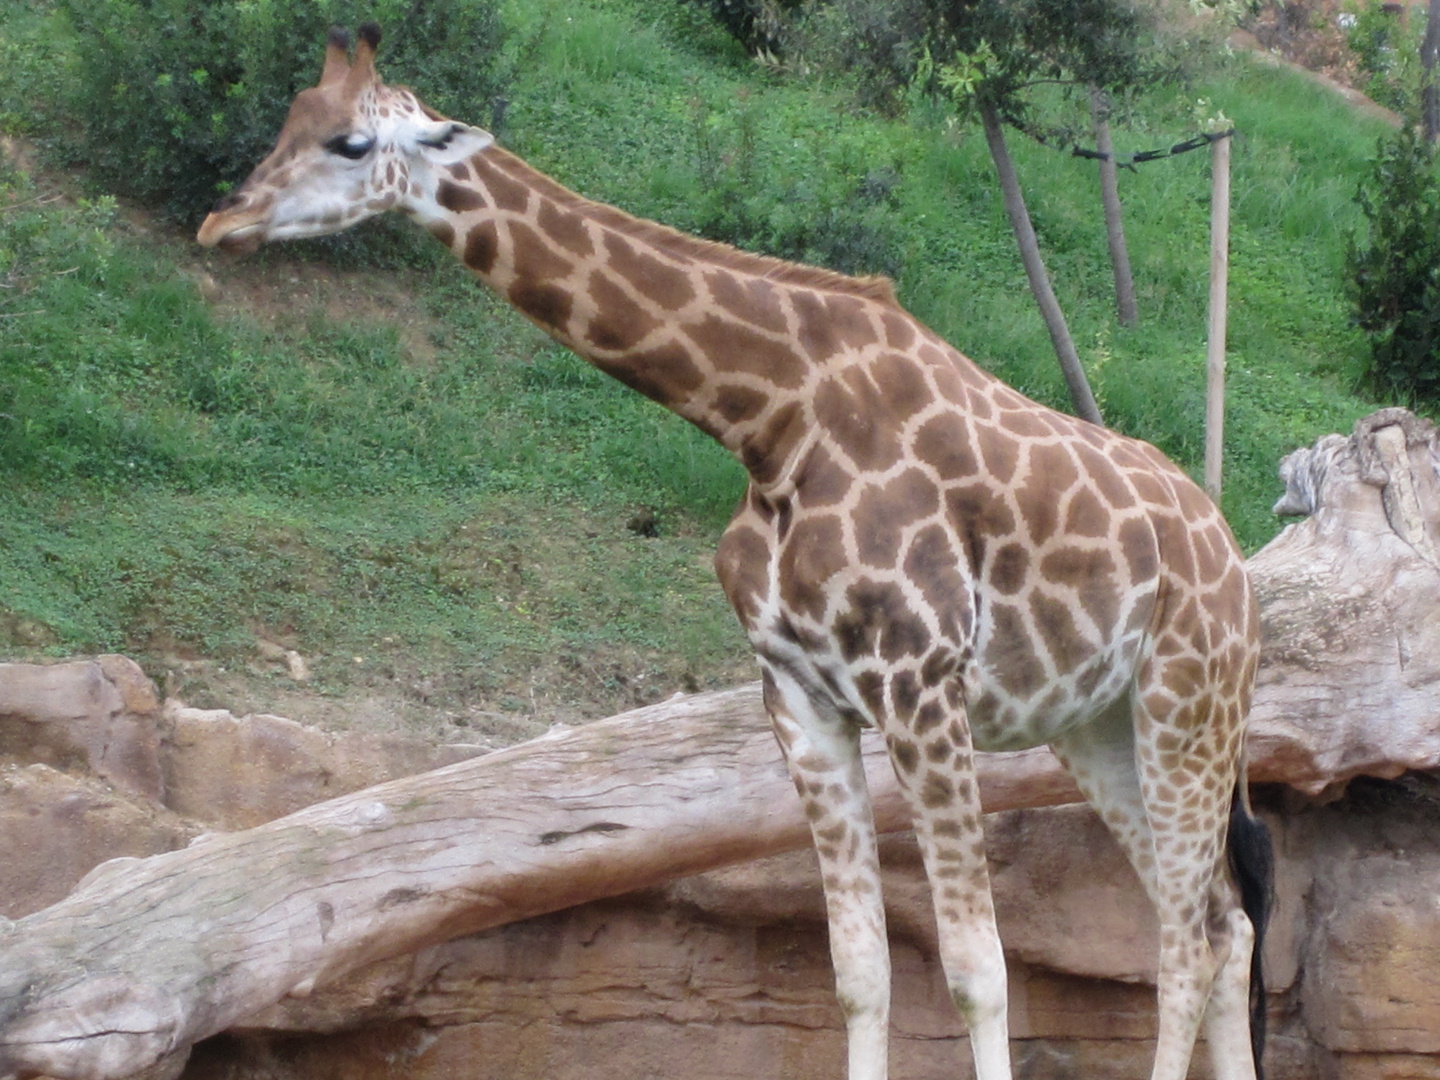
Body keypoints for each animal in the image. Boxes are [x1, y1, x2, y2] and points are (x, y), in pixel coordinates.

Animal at [200, 25, 1272, 1080]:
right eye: (290, 118)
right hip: (1097, 725)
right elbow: (859, 971)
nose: (221, 222)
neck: (770, 421)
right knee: (1225, 925)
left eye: (348, 143)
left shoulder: (921, 686)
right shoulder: (799, 695)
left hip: (1188, 704)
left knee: (1188, 936)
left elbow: (977, 970)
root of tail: (1231, 557)